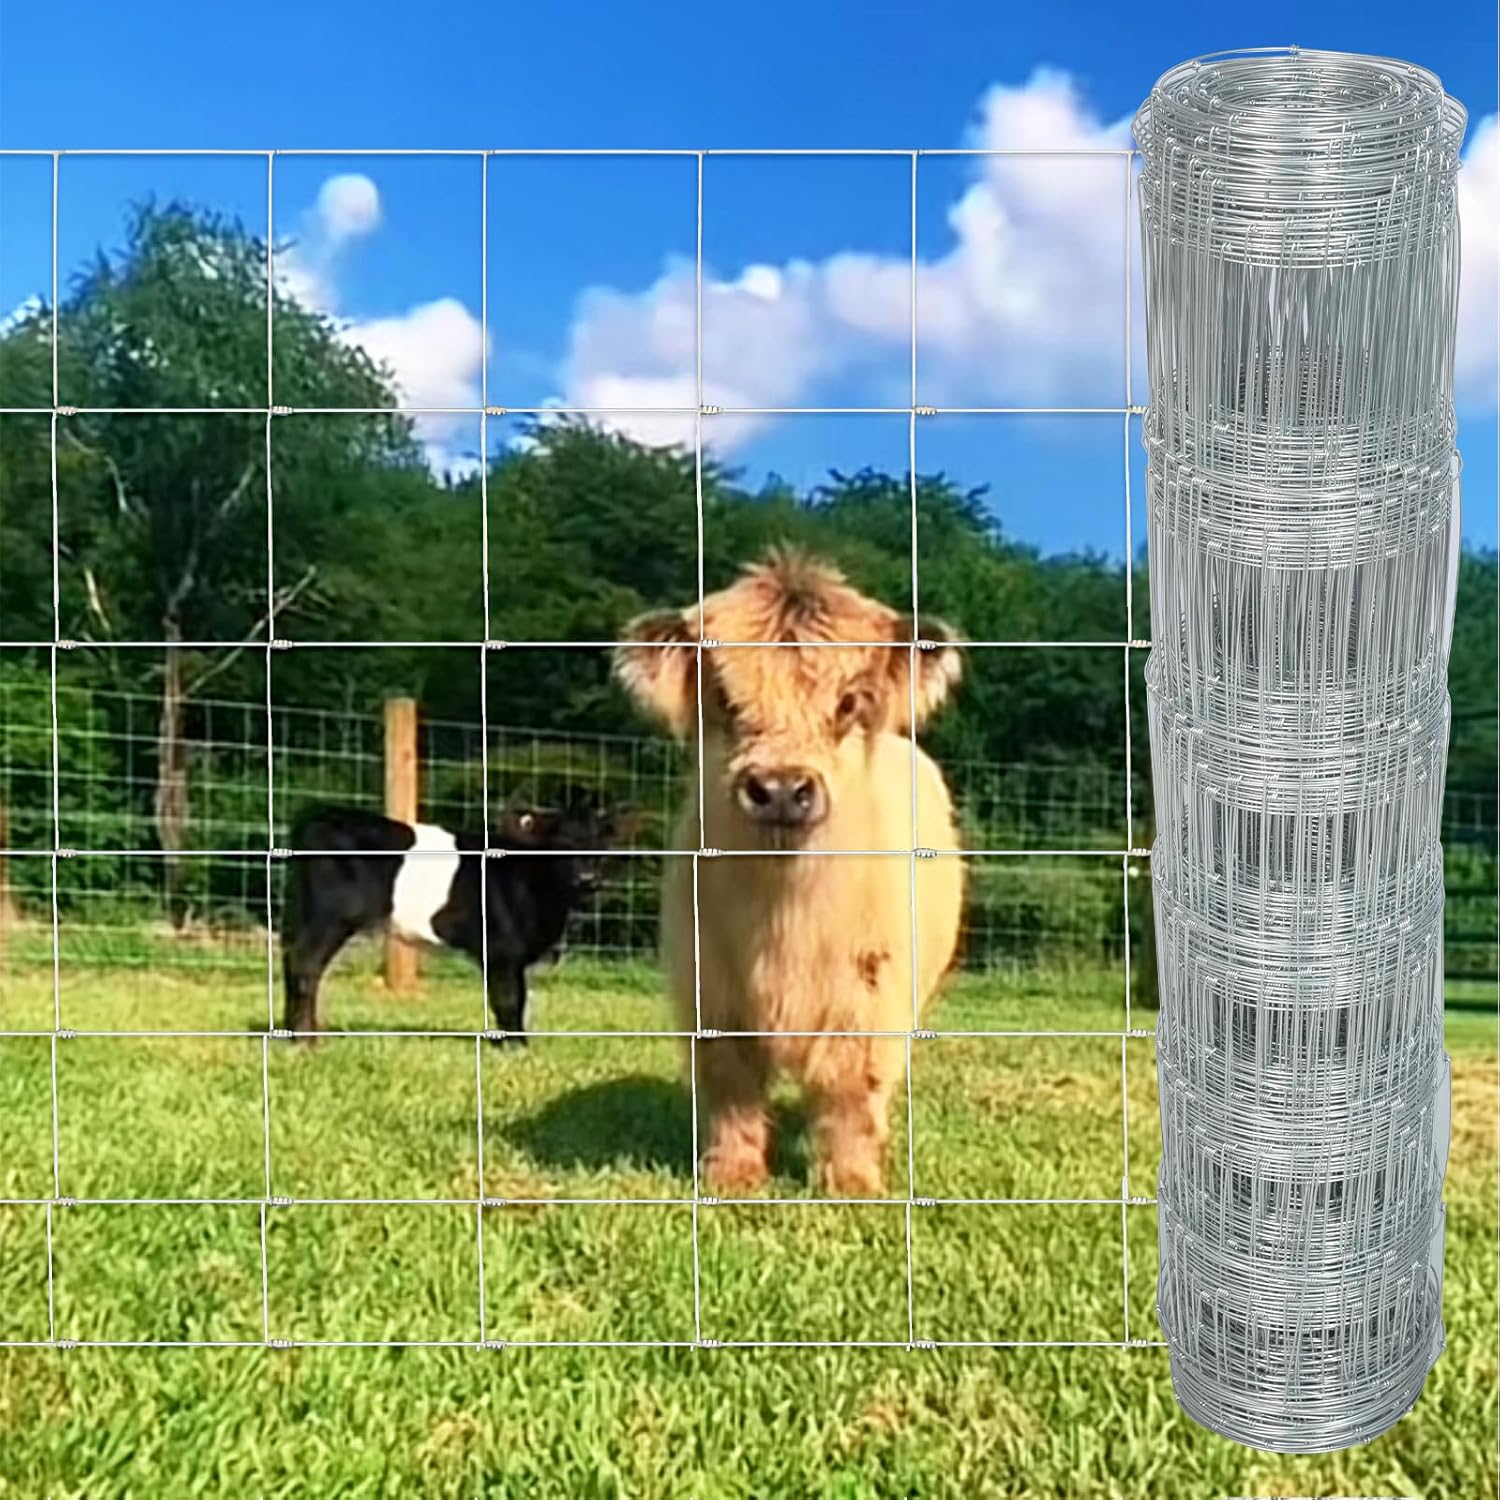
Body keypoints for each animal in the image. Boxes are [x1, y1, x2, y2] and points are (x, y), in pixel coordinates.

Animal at [280, 796, 621, 1043]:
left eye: (599, 843)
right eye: (560, 840)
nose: (587, 879)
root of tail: (322, 814)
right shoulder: (501, 949)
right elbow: (510, 998)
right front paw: (516, 1048)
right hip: (331, 916)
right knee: (305, 963)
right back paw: (307, 1041)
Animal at [614, 548, 966, 1197]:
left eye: (850, 703)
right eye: (726, 701)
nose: (779, 789)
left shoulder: (870, 996)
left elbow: (852, 1087)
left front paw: (851, 1182)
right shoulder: (708, 992)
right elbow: (730, 1086)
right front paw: (731, 1174)